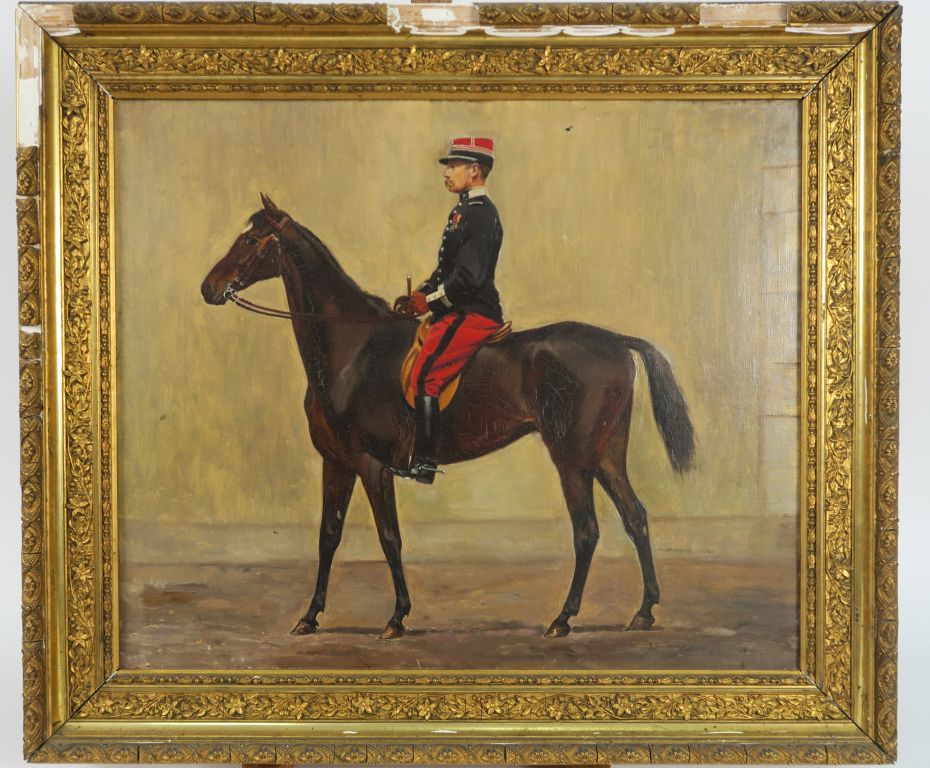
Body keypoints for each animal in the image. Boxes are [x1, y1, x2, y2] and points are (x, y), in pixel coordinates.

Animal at [201, 194, 695, 640]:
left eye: (251, 239)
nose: (208, 287)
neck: (350, 352)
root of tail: (616, 340)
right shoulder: (335, 463)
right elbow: (327, 536)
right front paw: (310, 617)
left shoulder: (372, 466)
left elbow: (389, 537)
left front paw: (397, 617)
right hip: (606, 454)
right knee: (636, 517)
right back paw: (644, 611)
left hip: (572, 459)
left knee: (587, 531)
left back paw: (563, 618)